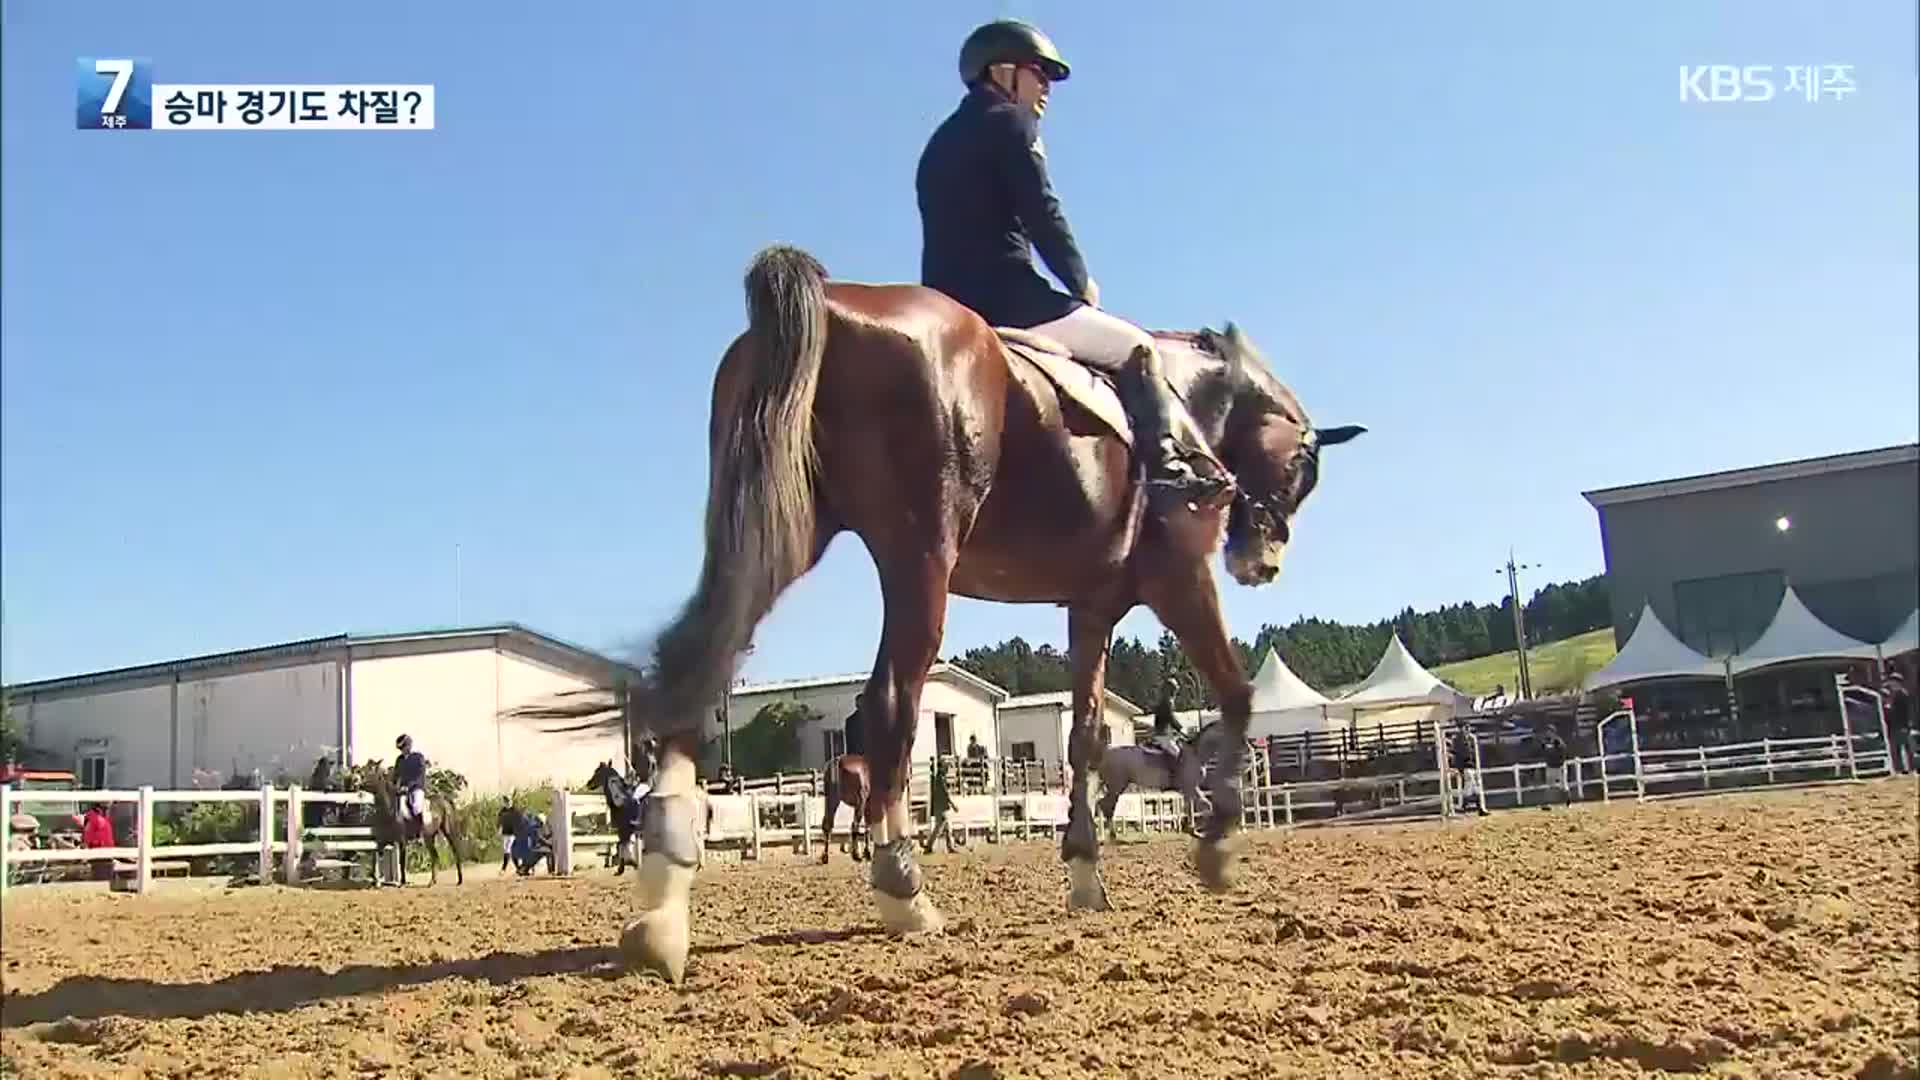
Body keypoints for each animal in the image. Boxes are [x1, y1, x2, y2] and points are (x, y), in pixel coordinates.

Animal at [526, 245, 1367, 983]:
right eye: (1305, 466)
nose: (1261, 564)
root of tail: (836, 301)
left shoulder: (1091, 606)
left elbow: (1088, 738)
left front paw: (1085, 875)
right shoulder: (1179, 581)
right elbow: (1236, 692)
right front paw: (1219, 843)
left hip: (778, 533)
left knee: (702, 667)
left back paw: (663, 904)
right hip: (917, 559)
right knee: (889, 702)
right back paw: (904, 890)